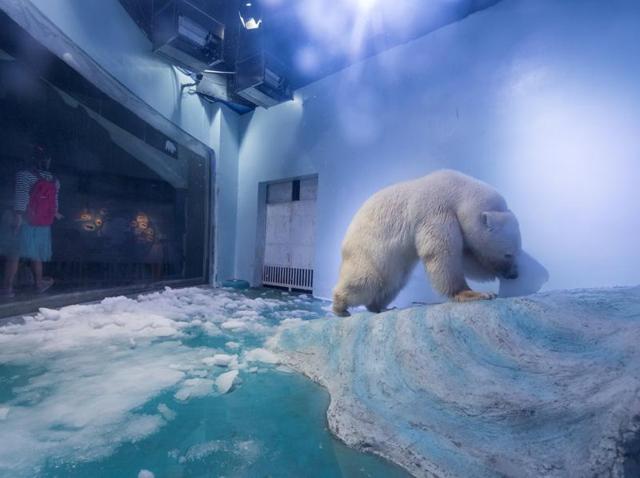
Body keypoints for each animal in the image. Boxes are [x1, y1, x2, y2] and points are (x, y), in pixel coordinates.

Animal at [332, 169, 522, 317]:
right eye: (508, 253)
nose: (514, 275)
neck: (456, 190)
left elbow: (466, 256)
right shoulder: (437, 212)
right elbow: (442, 253)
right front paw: (477, 293)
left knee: (393, 283)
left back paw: (381, 307)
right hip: (368, 251)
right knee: (367, 279)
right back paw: (340, 307)